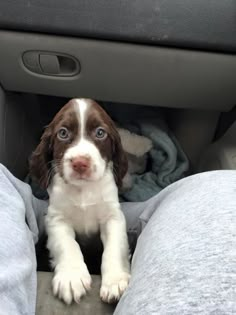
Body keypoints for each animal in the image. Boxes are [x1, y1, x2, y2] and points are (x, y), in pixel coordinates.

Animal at [30, 99, 131, 306]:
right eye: (63, 133)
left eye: (100, 133)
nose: (80, 163)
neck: (83, 190)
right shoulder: (56, 219)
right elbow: (67, 244)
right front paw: (71, 277)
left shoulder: (113, 217)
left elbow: (114, 247)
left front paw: (115, 281)